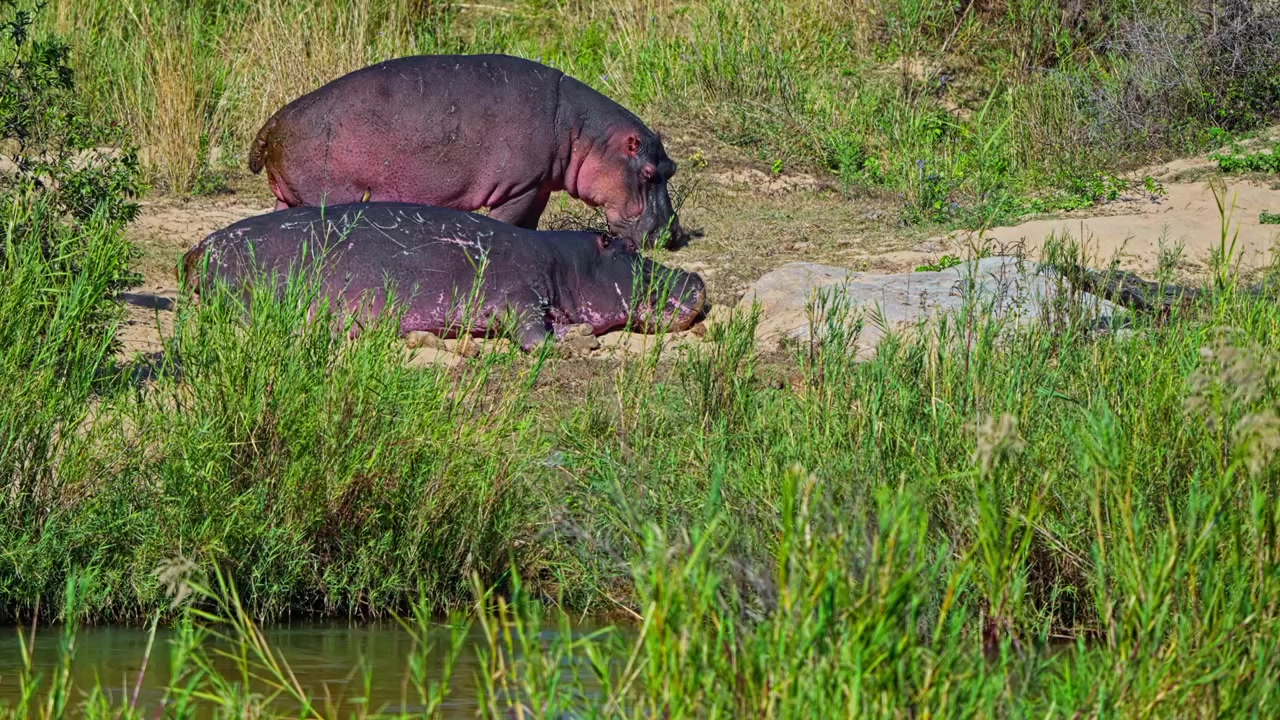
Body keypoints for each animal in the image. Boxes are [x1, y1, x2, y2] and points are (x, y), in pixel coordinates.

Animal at [180, 203, 705, 351]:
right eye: (628, 249)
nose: (698, 280)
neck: (567, 261)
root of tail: (199, 245)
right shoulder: (518, 293)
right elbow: (533, 332)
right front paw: (575, 340)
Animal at [248, 54, 681, 249]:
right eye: (648, 174)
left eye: (672, 167)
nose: (672, 233)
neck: (582, 133)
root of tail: (274, 121)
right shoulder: (519, 188)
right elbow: (510, 222)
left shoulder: (540, 185)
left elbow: (530, 223)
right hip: (323, 192)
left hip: (288, 195)